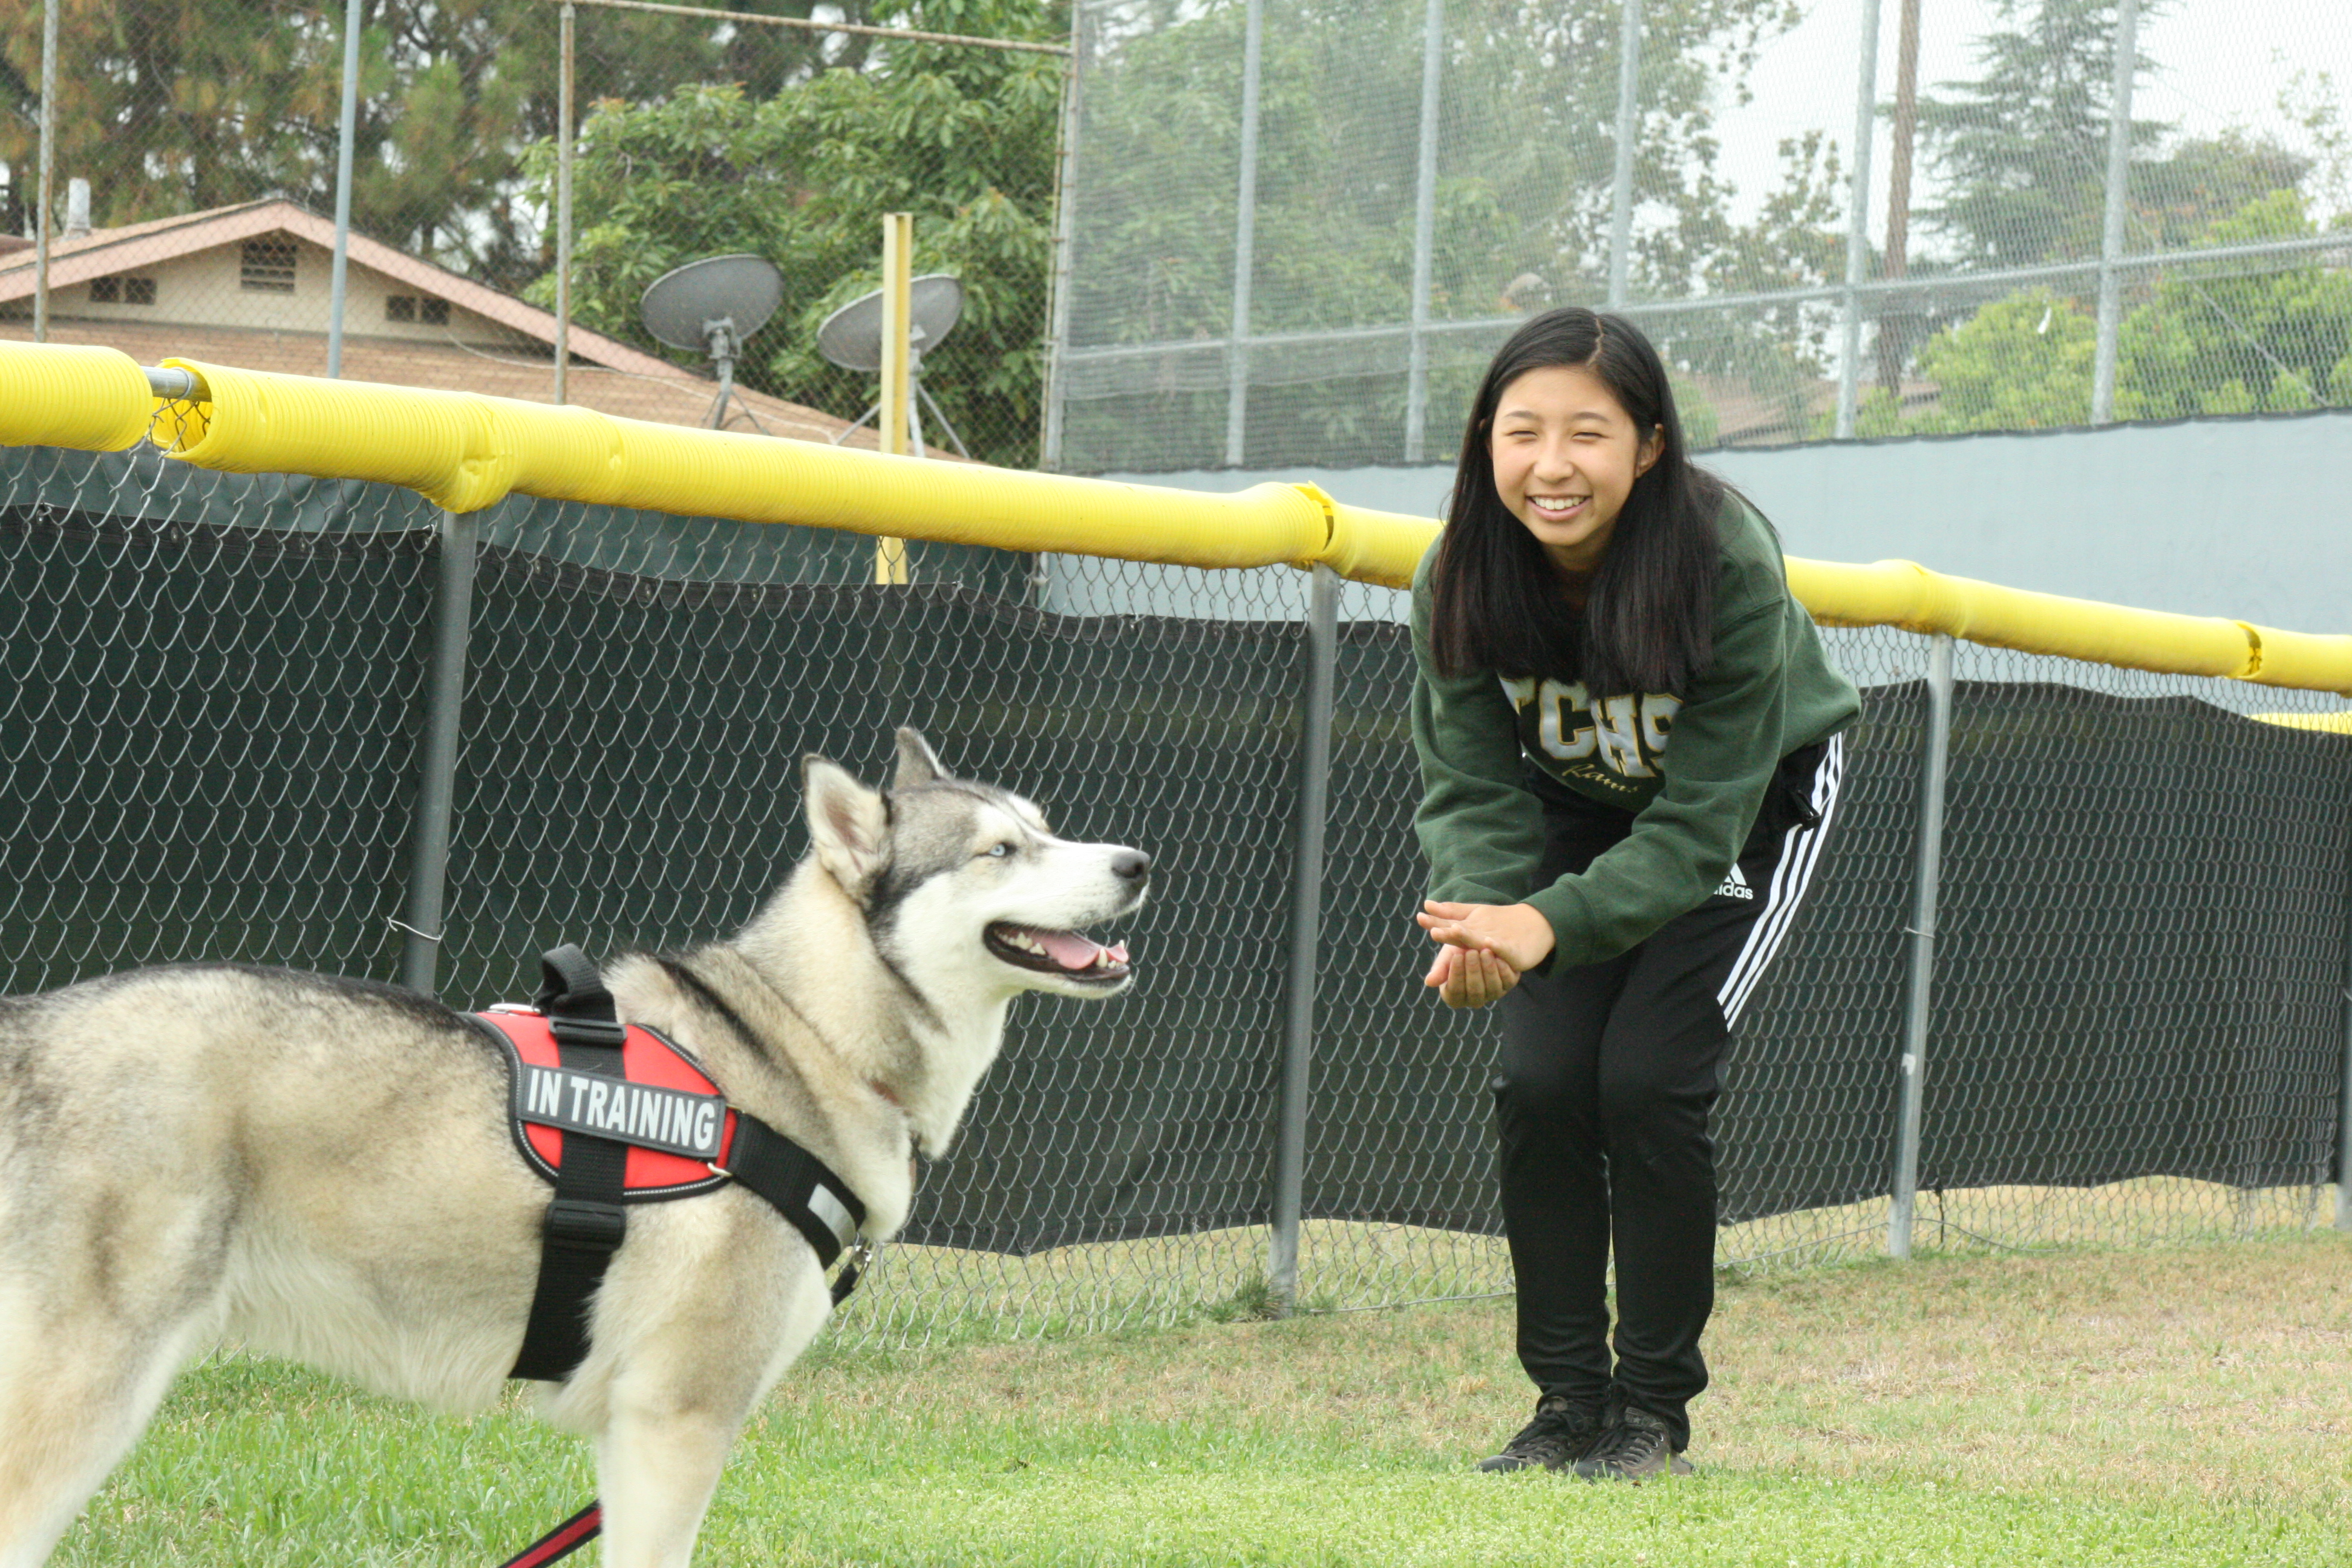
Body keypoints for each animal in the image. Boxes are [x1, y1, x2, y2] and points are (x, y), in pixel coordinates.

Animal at [0, 733, 1148, 1568]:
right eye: (999, 851)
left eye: (1046, 829)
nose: (1138, 861)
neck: (804, 1038)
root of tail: (32, 1026)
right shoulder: (676, 1420)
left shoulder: (633, 1430)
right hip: (80, 1403)